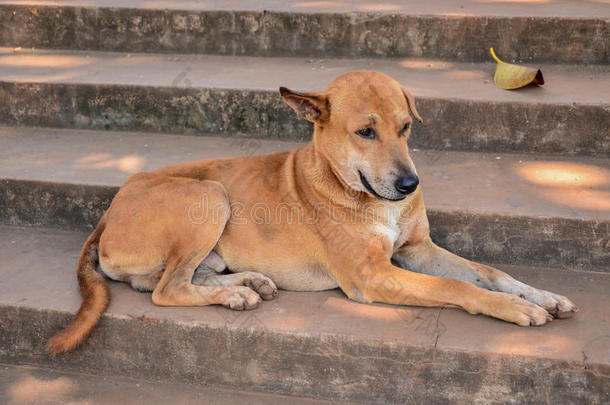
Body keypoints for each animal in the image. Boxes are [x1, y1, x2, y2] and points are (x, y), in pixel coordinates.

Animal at [48, 71, 576, 352]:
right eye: (365, 132)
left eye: (407, 126)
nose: (410, 185)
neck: (355, 190)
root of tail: (109, 210)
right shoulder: (371, 277)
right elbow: (457, 287)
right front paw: (516, 309)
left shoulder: (417, 250)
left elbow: (488, 272)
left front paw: (540, 295)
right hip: (210, 196)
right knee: (164, 291)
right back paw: (233, 295)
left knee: (167, 279)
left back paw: (246, 282)